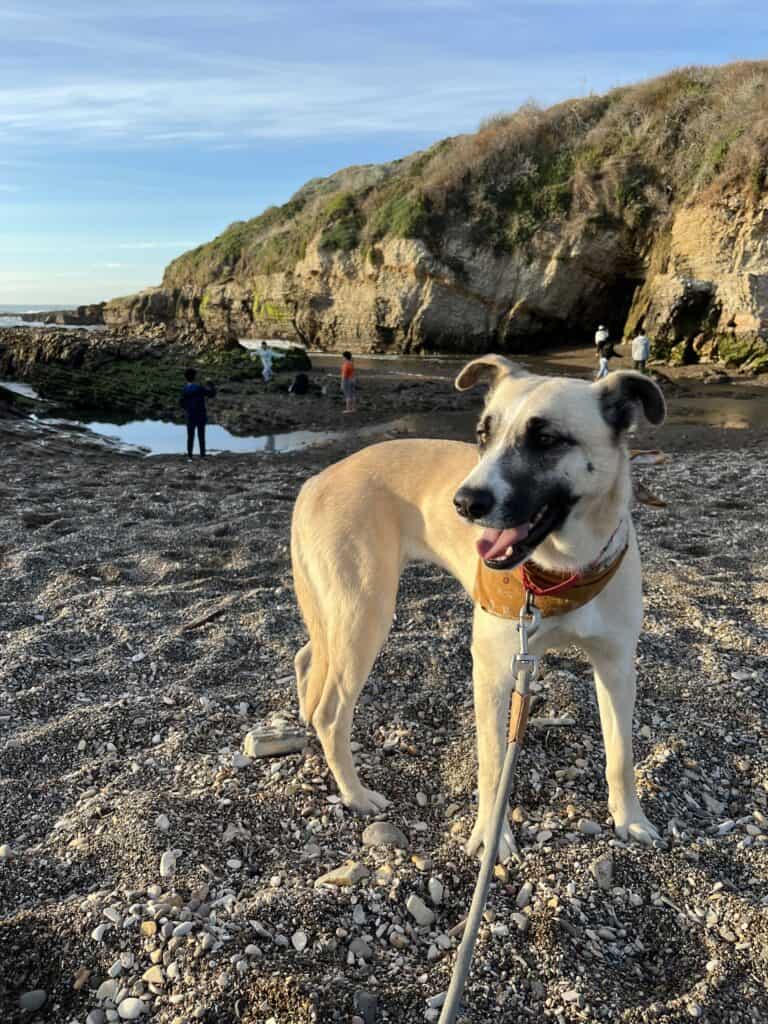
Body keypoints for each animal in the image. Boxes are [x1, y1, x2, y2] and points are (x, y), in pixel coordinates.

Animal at [290, 356, 663, 860]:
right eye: (483, 434)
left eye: (547, 439)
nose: (464, 503)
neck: (561, 570)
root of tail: (315, 481)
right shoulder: (493, 669)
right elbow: (492, 763)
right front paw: (491, 834)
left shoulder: (616, 666)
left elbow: (621, 755)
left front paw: (631, 819)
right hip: (363, 617)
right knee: (331, 713)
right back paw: (355, 793)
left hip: (337, 615)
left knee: (307, 656)